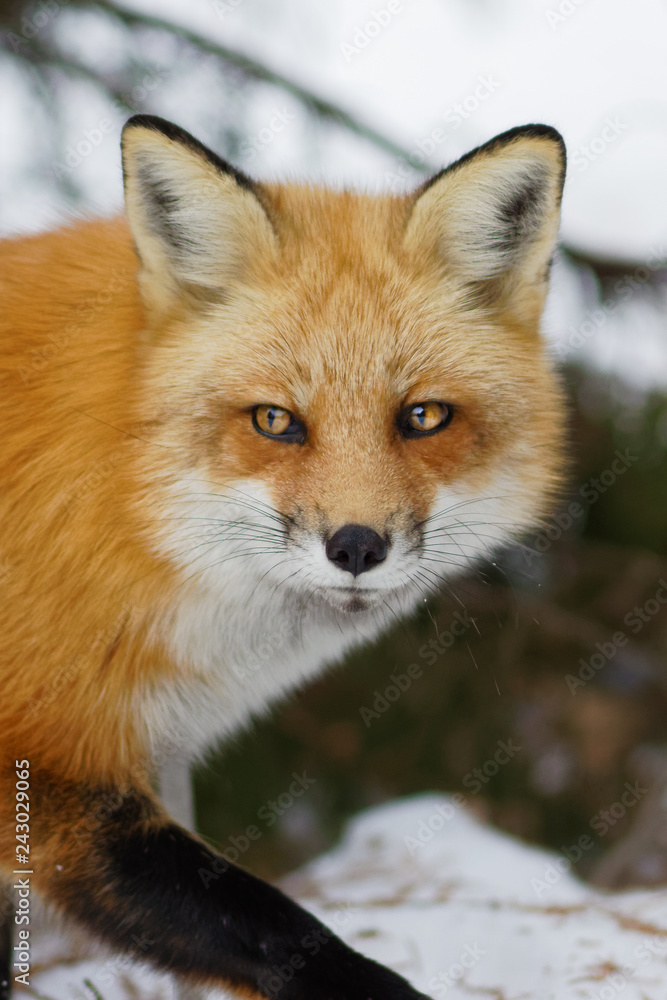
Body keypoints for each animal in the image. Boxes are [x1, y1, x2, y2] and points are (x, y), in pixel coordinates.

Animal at [0, 114, 566, 999]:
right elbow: (279, 930)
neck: (112, 493)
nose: (357, 546)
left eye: (423, 416)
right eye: (274, 421)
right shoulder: (48, 765)